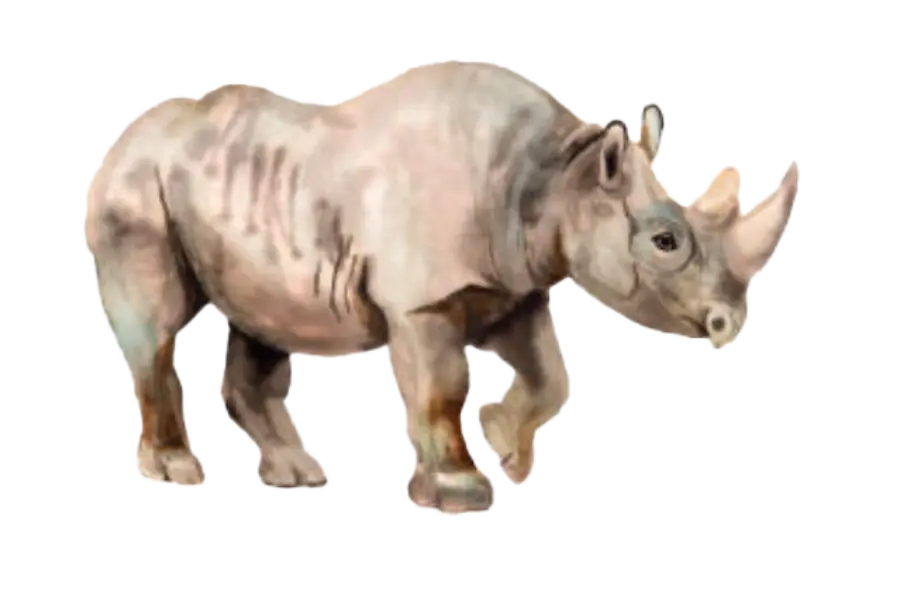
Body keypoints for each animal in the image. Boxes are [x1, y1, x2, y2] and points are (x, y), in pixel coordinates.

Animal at [83, 59, 799, 515]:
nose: (728, 323)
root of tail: (118, 141)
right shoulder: (422, 302)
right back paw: (177, 473)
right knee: (156, 330)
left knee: (261, 321)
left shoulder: (511, 287)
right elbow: (441, 385)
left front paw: (506, 447)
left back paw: (298, 481)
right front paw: (461, 494)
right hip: (134, 190)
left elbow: (550, 375)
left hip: (240, 194)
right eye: (665, 242)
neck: (559, 176)